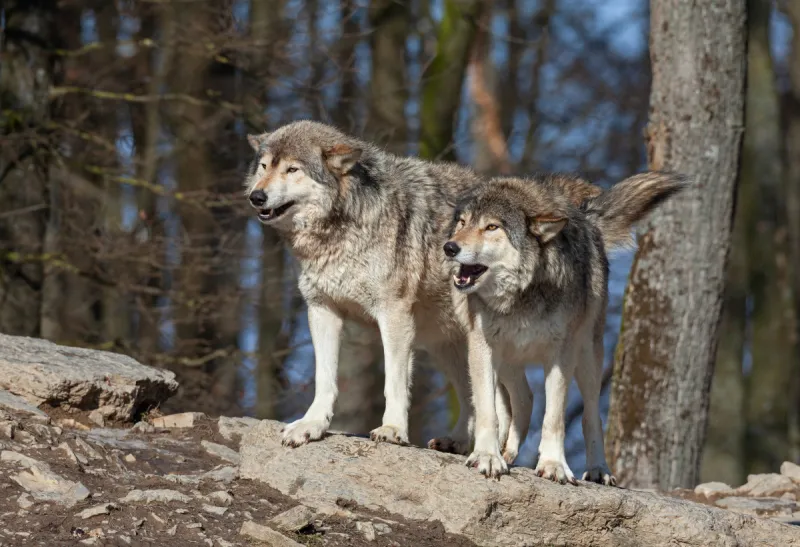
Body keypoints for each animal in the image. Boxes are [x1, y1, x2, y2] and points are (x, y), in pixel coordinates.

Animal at [444, 171, 688, 484]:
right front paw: (488, 457)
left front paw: (552, 465)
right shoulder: (481, 348)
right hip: (507, 358)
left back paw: (598, 470)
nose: (450, 247)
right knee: (523, 398)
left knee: (590, 415)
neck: (521, 297)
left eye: (491, 227)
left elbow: (554, 418)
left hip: (587, 359)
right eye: (462, 223)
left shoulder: (561, 354)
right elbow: (489, 411)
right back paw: (506, 453)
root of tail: (586, 216)